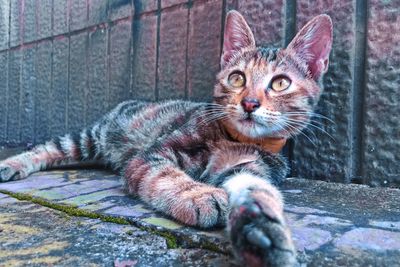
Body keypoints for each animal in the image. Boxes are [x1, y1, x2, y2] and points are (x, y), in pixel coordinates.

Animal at [0, 10, 332, 267]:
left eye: (280, 83)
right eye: (237, 77)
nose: (249, 103)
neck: (234, 139)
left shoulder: (253, 167)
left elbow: (257, 190)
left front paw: (262, 231)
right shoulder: (153, 153)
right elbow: (167, 175)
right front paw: (199, 195)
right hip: (90, 138)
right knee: (49, 148)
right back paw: (12, 164)